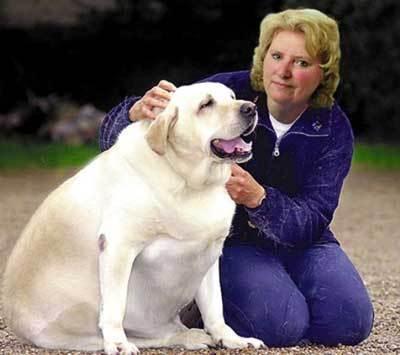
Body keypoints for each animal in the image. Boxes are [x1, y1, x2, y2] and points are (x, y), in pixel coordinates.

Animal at [1, 82, 264, 354]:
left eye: (232, 96)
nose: (251, 107)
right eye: (206, 104)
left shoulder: (210, 252)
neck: (186, 178)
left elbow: (215, 306)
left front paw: (230, 338)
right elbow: (115, 306)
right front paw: (117, 343)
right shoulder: (118, 245)